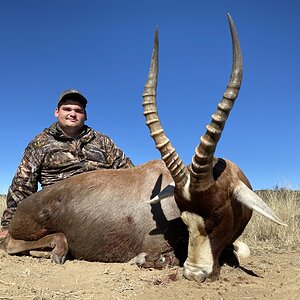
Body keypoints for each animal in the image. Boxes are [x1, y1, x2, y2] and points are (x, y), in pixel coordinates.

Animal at [0, 14, 286, 282]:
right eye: (184, 218)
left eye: (217, 213)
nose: (195, 273)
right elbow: (157, 258)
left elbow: (242, 250)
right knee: (12, 242)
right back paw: (55, 250)